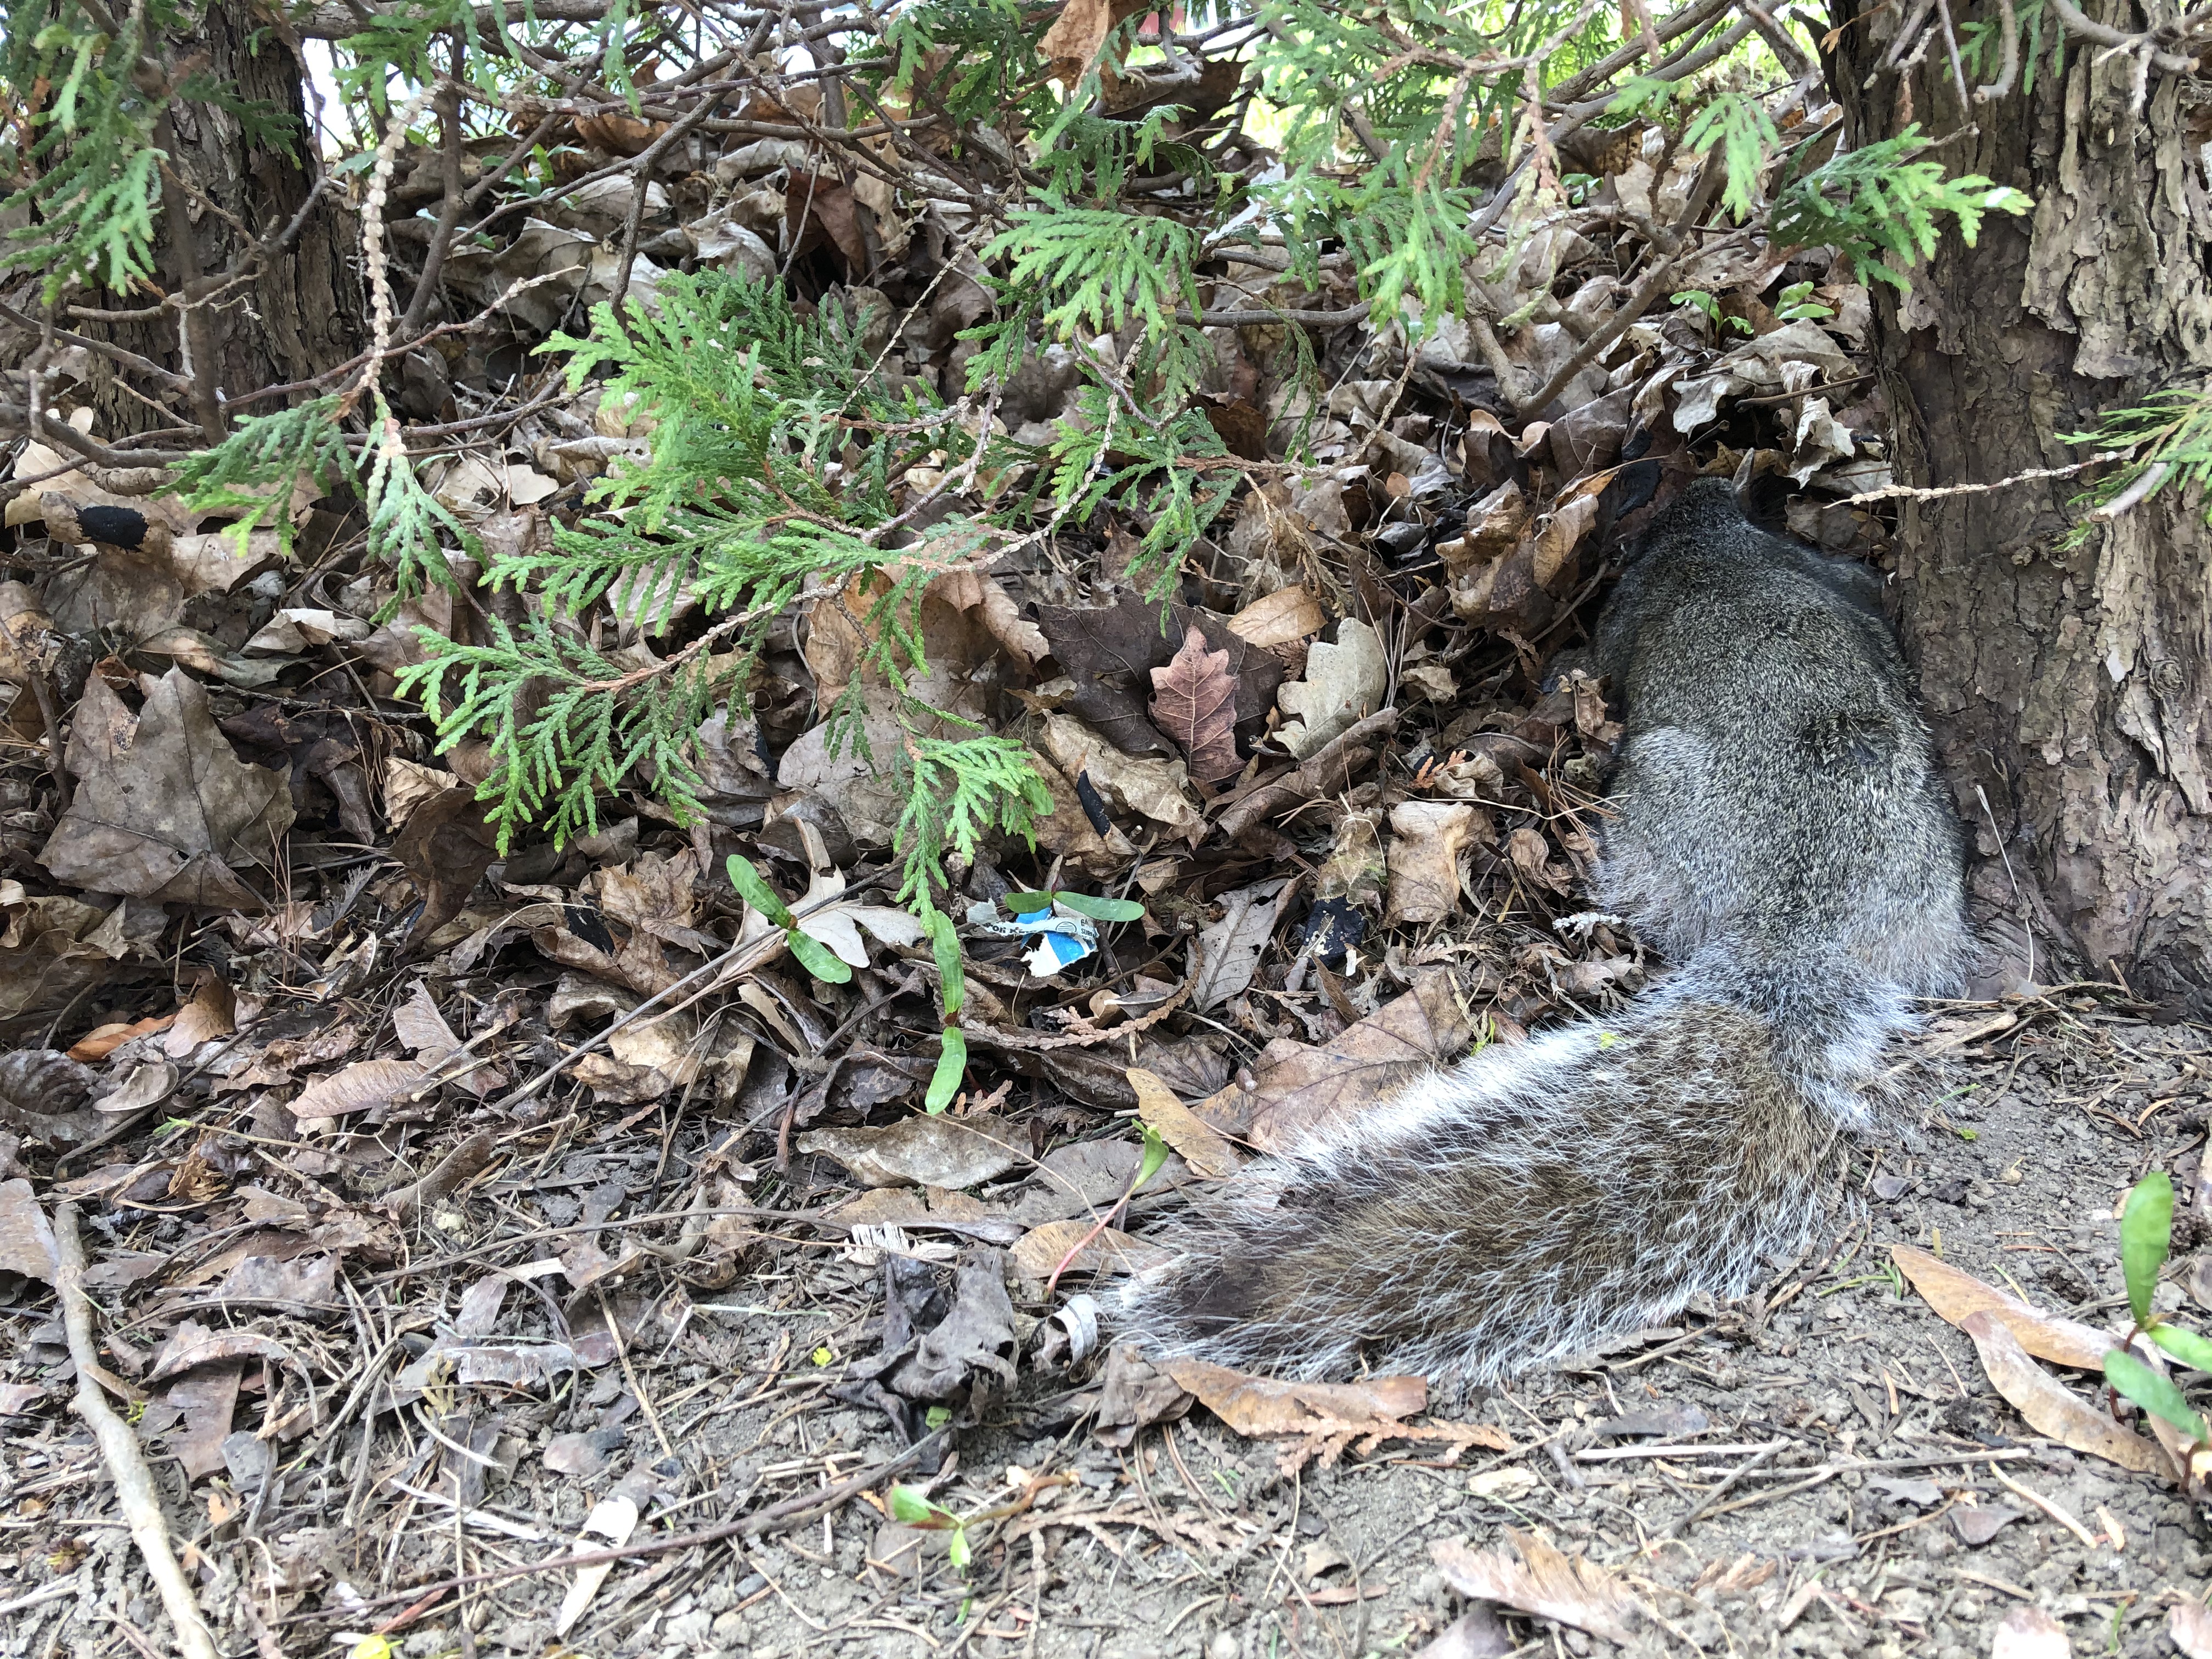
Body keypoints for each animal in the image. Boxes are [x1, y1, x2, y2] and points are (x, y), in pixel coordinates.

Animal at [1117, 477, 1970, 1382]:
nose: (1699, 485)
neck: (1717, 542)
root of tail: (1801, 928)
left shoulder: (1629, 618)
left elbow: (1597, 653)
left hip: (1654, 804)